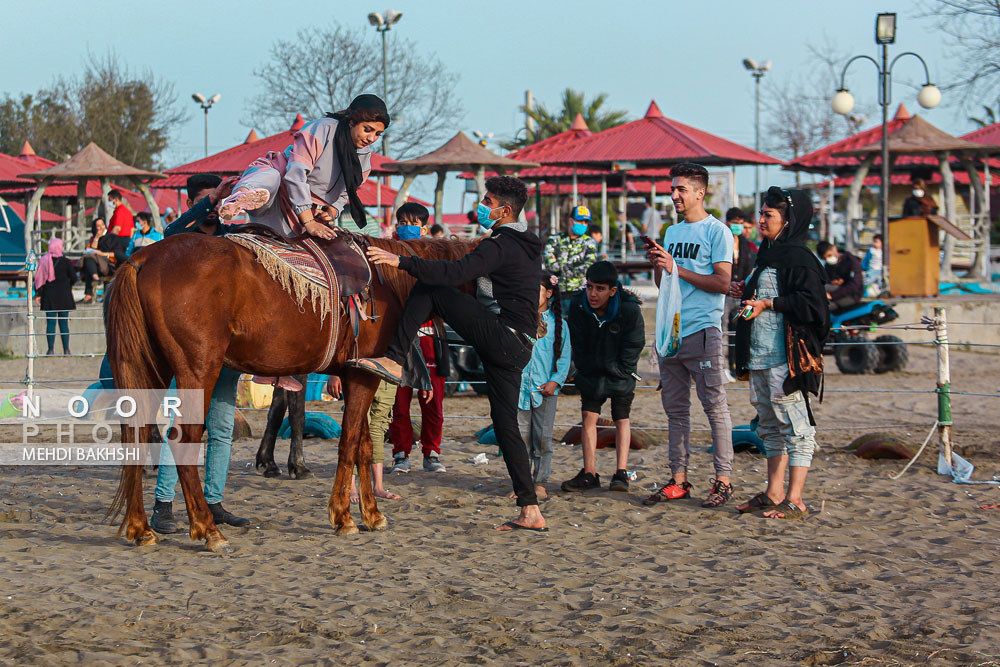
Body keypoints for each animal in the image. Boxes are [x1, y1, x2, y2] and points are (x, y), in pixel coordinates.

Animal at [103, 232, 474, 556]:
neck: (387, 284)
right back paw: (208, 530)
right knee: (182, 439)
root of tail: (143, 259)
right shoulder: (362, 376)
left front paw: (372, 514)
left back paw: (140, 528)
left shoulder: (357, 376)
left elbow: (364, 446)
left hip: (152, 369)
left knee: (136, 435)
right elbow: (349, 444)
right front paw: (344, 517)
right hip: (197, 370)